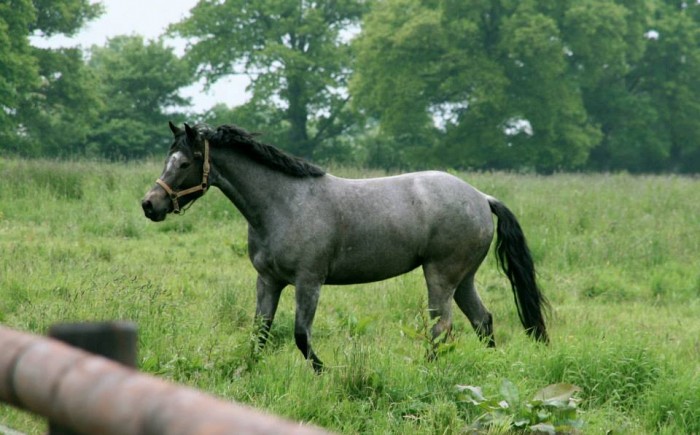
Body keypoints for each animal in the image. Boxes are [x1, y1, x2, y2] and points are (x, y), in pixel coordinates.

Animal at [141, 122, 548, 372]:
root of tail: (481, 197)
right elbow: (260, 332)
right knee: (482, 320)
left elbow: (301, 335)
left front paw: (324, 372)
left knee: (441, 327)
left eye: (185, 162)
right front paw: (245, 370)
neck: (284, 203)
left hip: (441, 276)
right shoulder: (268, 281)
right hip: (463, 279)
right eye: (167, 160)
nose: (149, 204)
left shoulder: (309, 282)